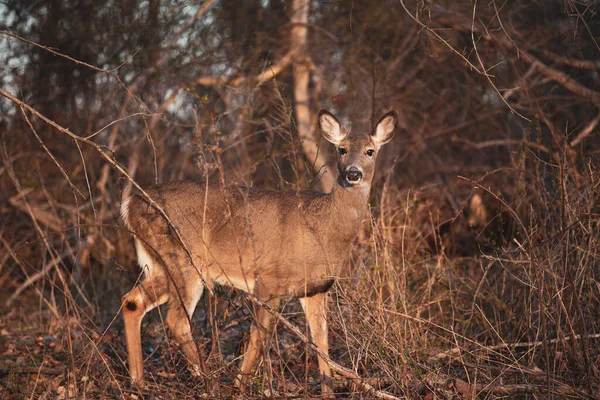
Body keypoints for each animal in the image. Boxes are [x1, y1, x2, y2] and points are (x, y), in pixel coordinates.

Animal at [119, 108, 396, 394]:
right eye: (342, 149)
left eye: (370, 151)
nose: (353, 173)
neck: (323, 229)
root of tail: (130, 205)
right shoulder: (267, 281)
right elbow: (259, 336)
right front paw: (241, 386)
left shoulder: (316, 289)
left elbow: (321, 341)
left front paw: (328, 392)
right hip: (183, 258)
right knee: (176, 320)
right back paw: (210, 381)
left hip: (161, 263)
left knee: (132, 301)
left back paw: (138, 382)